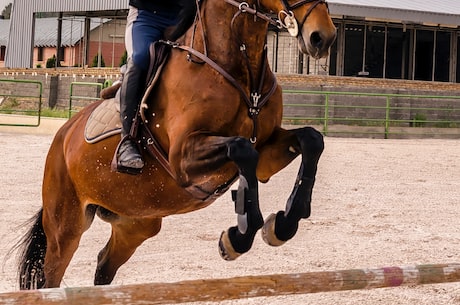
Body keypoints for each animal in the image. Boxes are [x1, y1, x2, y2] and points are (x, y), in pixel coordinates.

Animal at [18, 0, 336, 288]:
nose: (323, 37)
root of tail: (63, 136)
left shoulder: (266, 153)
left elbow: (311, 140)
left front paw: (283, 225)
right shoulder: (184, 158)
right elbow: (241, 149)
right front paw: (237, 238)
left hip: (136, 223)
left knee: (104, 266)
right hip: (65, 228)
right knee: (51, 277)